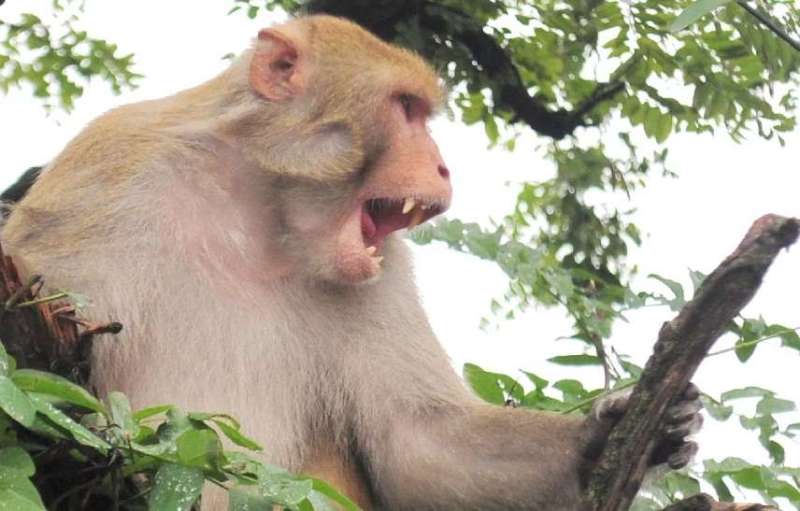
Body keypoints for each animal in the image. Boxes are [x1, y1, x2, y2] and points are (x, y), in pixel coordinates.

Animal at [1, 16, 702, 510]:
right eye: (405, 109)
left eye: (422, 113)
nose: (443, 166)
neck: (258, 210)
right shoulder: (104, 177)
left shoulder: (381, 268)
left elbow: (415, 445)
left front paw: (610, 432)